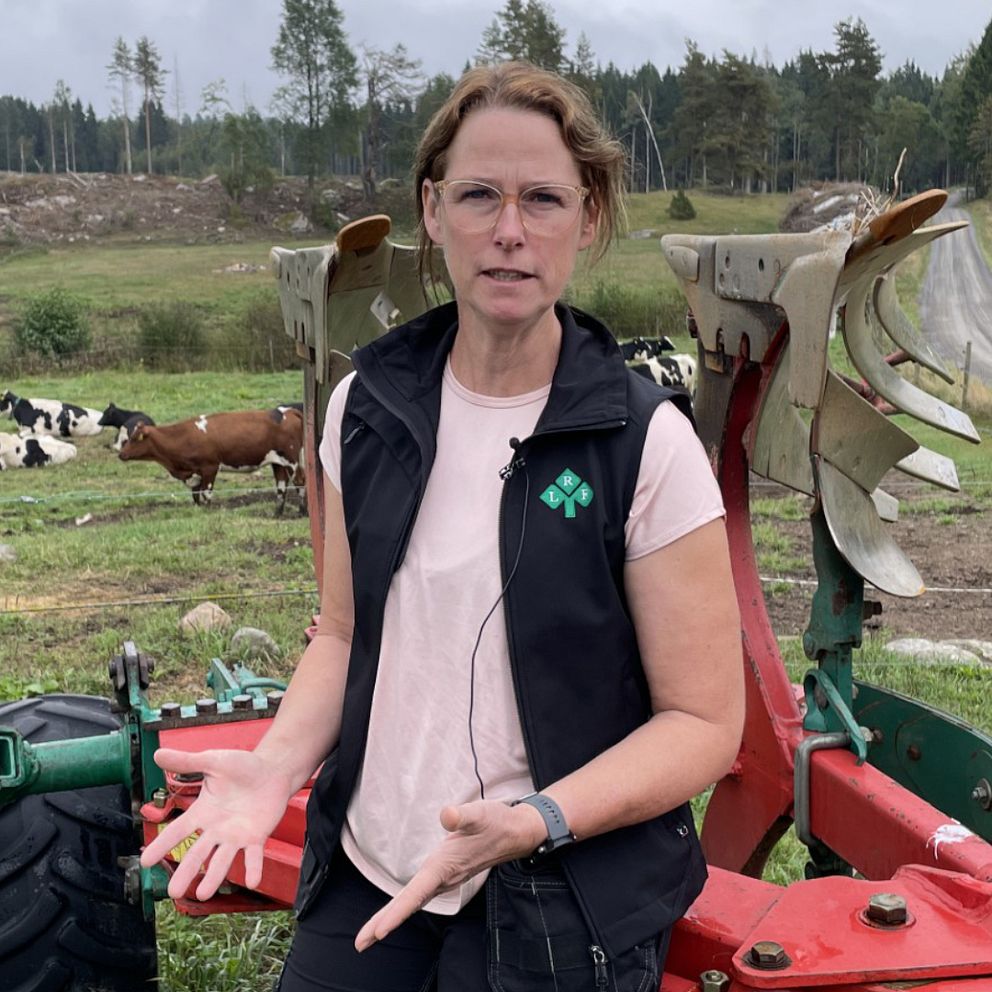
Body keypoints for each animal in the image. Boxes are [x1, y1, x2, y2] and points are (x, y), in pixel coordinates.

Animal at [118, 408, 305, 515]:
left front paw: (208, 513)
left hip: (292, 459)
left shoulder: (210, 467)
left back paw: (302, 512)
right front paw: (199, 511)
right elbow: (195, 495)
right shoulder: (195, 473)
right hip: (278, 462)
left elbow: (206, 494)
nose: (121, 454)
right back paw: (277, 513)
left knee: (299, 481)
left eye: (134, 438)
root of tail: (287, 411)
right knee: (281, 486)